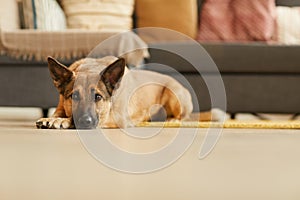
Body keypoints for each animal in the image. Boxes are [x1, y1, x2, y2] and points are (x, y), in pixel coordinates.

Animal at [35, 55, 223, 129]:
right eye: (73, 96)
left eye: (98, 97)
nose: (85, 121)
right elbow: (57, 112)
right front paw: (53, 118)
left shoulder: (117, 118)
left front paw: (63, 121)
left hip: (173, 94)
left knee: (181, 117)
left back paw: (171, 120)